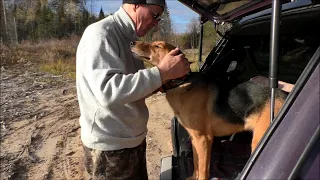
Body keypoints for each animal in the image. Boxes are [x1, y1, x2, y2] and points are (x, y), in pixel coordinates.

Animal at [131, 41, 288, 180]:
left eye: (157, 46)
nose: (132, 42)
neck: (181, 83)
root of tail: (284, 95)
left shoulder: (204, 139)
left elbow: (203, 170)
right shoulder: (195, 139)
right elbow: (196, 165)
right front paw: (192, 177)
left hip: (258, 140)